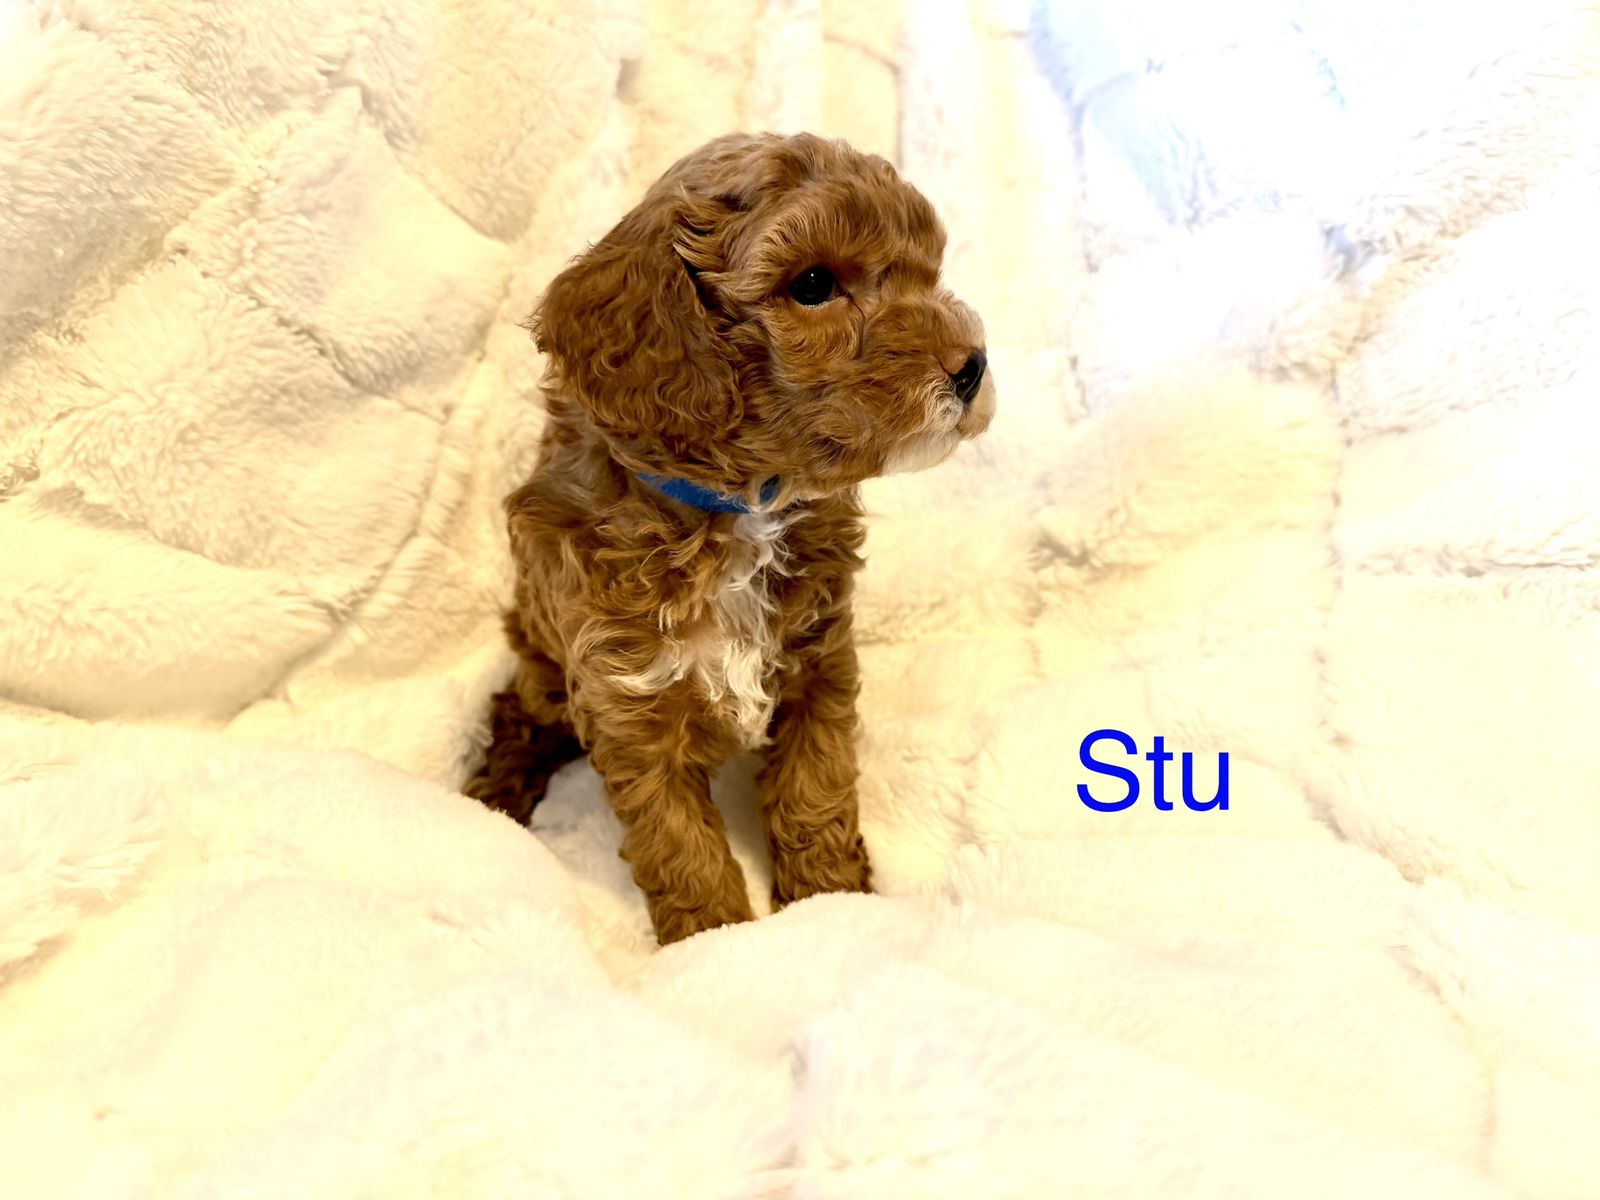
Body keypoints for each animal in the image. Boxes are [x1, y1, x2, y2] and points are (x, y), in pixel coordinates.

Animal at [467, 132, 995, 944]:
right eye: (813, 284)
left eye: (927, 272)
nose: (973, 367)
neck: (742, 508)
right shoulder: (629, 701)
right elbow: (678, 844)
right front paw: (713, 941)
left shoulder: (819, 660)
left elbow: (816, 790)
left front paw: (830, 903)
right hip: (543, 658)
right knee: (516, 709)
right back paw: (496, 793)